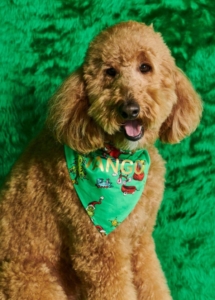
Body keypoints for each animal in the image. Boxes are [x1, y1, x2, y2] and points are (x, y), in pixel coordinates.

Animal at [0, 21, 202, 300]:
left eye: (145, 67)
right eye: (110, 72)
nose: (129, 109)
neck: (120, 158)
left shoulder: (140, 241)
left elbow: (153, 281)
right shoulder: (101, 250)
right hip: (33, 281)